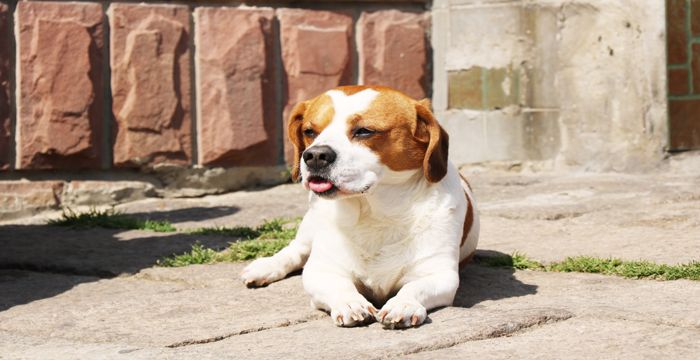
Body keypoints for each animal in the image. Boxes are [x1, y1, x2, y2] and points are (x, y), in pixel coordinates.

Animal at [238, 86, 478, 328]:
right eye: (309, 131)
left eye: (364, 131)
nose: (314, 155)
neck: (374, 213)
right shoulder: (321, 270)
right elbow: (338, 285)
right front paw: (350, 303)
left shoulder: (440, 274)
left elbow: (414, 287)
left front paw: (404, 304)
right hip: (310, 225)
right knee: (295, 250)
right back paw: (266, 267)